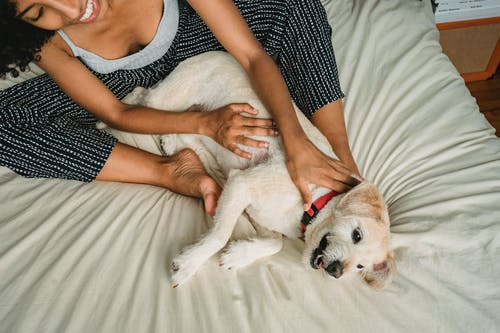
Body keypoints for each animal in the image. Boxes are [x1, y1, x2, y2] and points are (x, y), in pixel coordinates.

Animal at [122, 50, 394, 290]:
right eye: (357, 234)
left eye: (360, 267)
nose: (336, 271)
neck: (314, 203)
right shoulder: (243, 184)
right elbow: (220, 235)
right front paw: (190, 263)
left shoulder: (257, 212)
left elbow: (275, 243)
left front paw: (237, 255)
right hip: (170, 97)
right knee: (142, 99)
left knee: (187, 127)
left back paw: (175, 143)